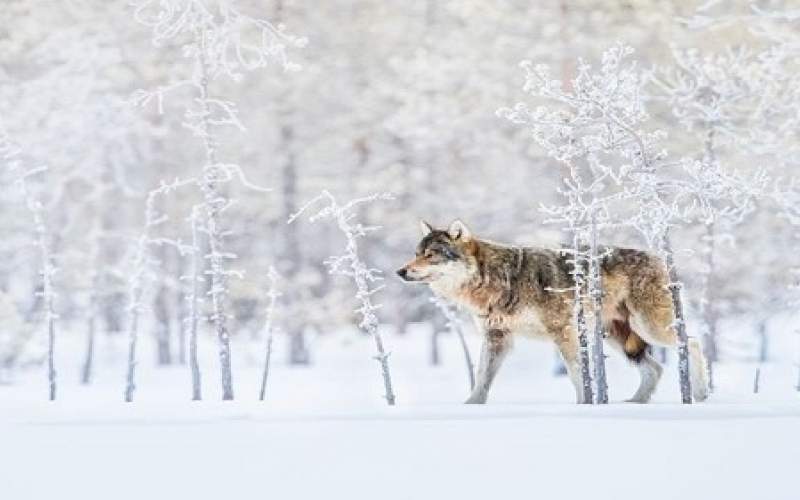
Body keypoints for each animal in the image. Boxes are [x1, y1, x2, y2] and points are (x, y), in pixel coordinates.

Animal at [396, 221, 708, 404]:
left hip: (649, 328)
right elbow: (481, 380)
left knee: (693, 343)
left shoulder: (563, 332)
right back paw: (635, 403)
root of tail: (659, 258)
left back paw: (701, 393)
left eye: (431, 255)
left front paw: (585, 406)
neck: (500, 281)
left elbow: (577, 375)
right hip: (618, 339)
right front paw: (470, 408)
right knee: (656, 368)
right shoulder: (497, 337)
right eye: (416, 253)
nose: (400, 271)